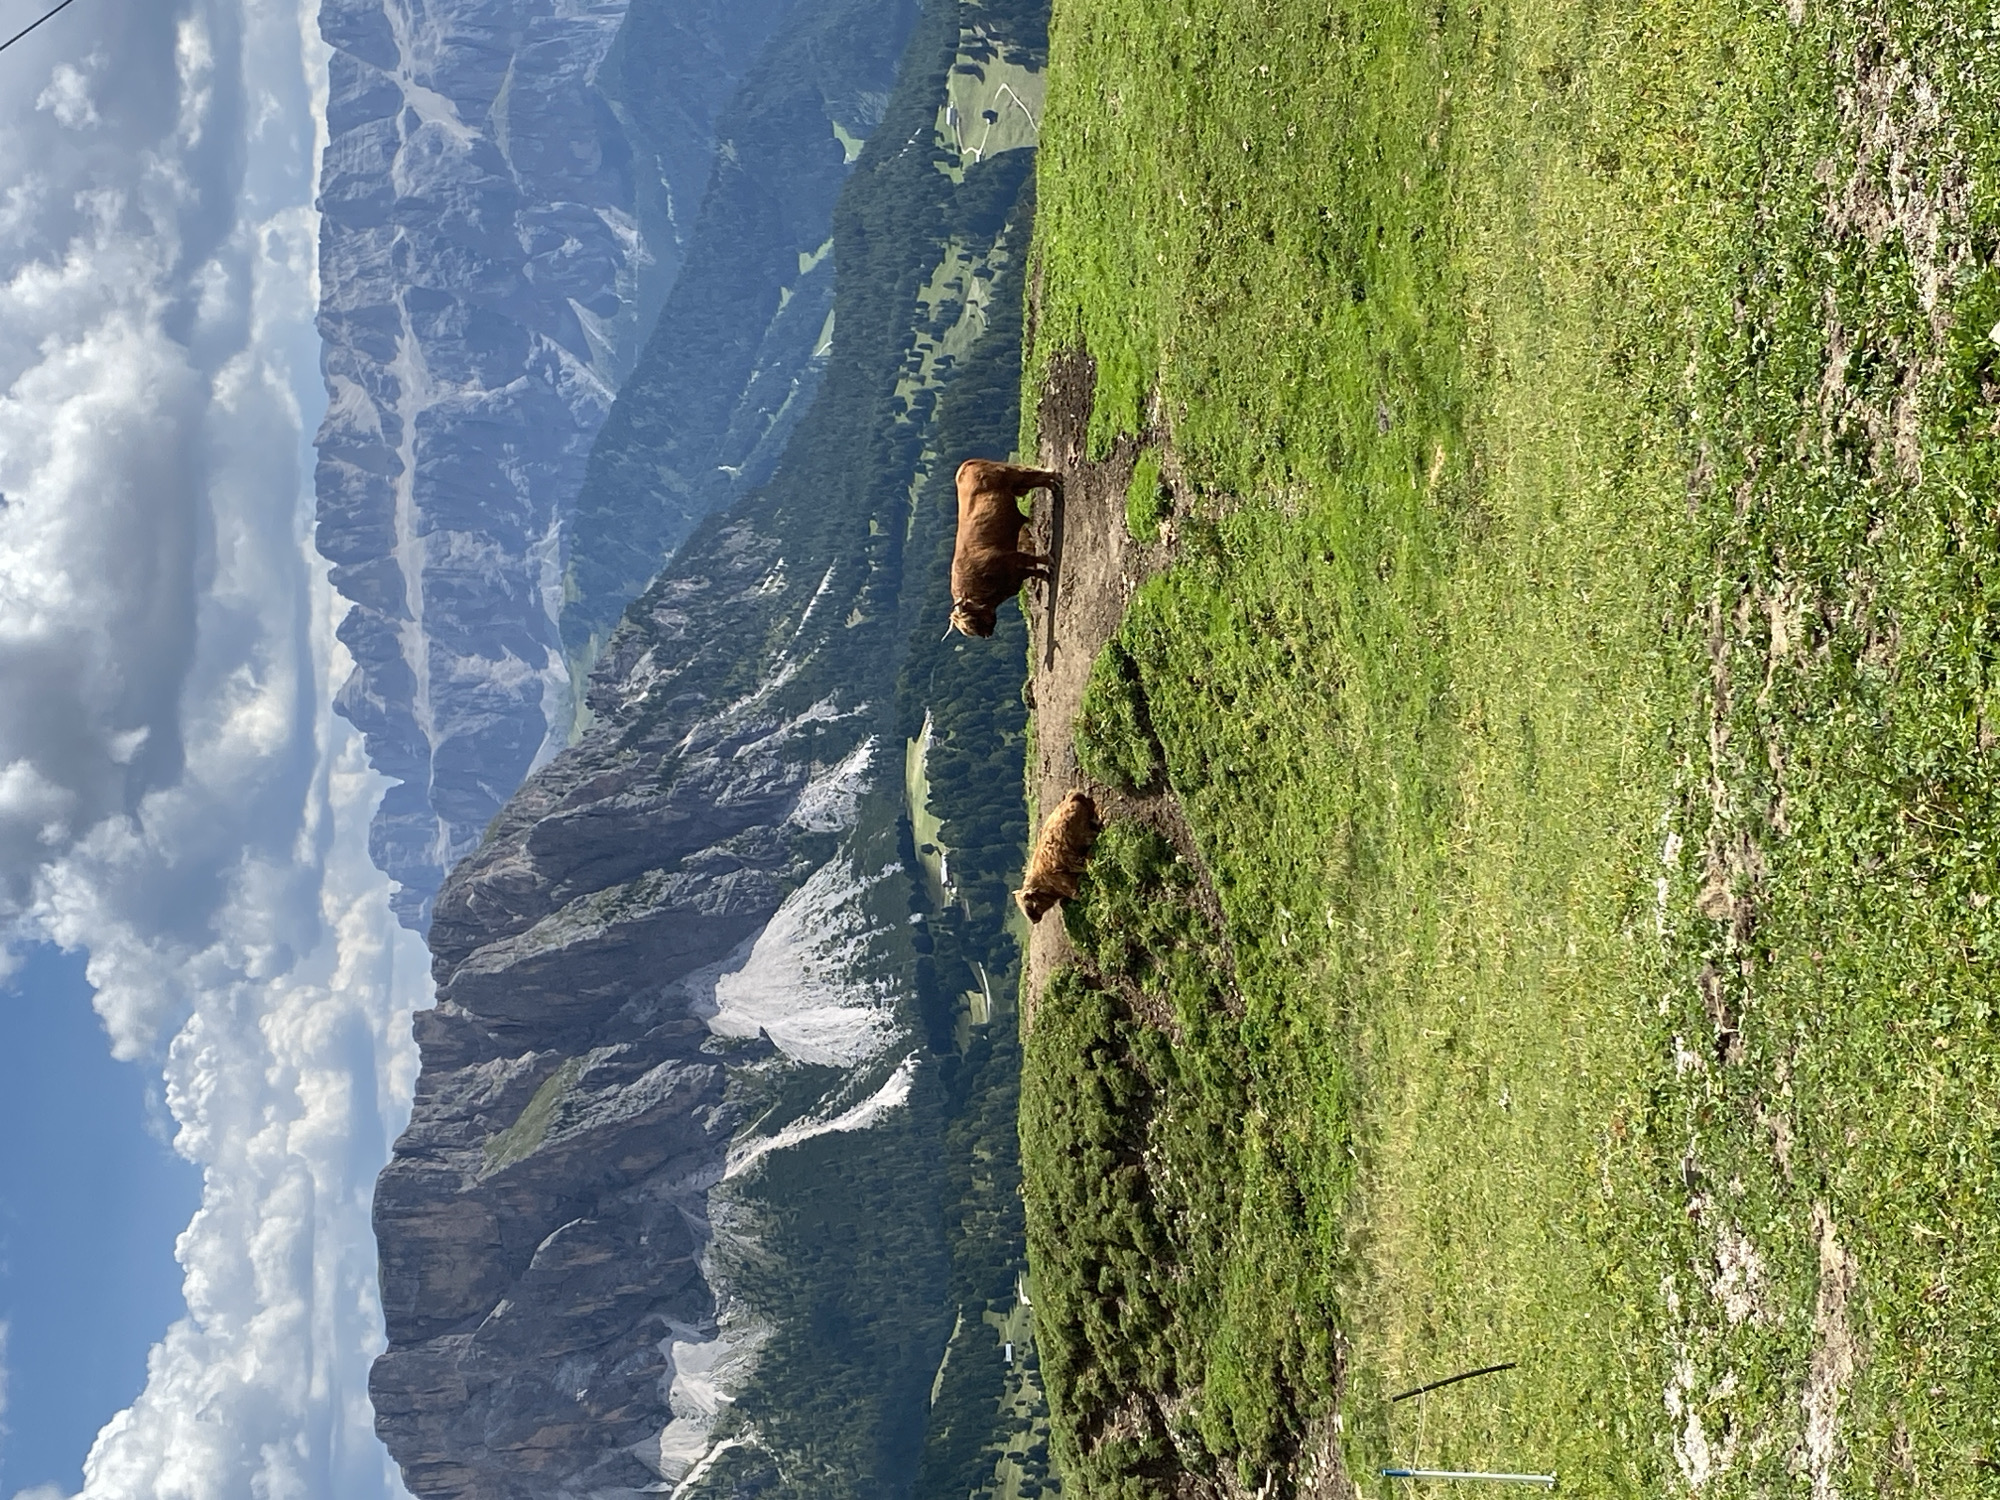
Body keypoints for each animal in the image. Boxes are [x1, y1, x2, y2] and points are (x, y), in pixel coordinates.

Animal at [947, 458, 1062, 638]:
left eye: (972, 620)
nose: (986, 635)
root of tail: (968, 463)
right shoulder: (1015, 574)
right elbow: (1035, 572)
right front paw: (1046, 576)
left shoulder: (1010, 557)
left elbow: (1031, 558)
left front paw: (1048, 560)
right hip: (1016, 486)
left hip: (1013, 475)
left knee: (1033, 475)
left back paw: (1055, 479)